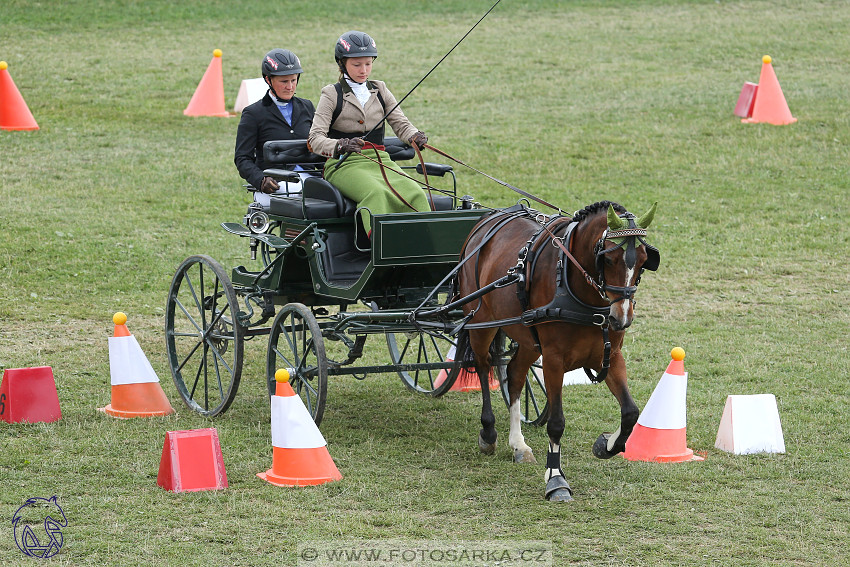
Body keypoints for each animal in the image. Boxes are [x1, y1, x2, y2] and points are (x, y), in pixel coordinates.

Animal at [454, 200, 660, 502]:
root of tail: (488, 218)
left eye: (645, 260)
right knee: (483, 366)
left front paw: (606, 445)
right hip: (480, 322)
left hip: (527, 339)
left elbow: (630, 412)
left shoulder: (610, 356)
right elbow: (556, 423)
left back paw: (518, 445)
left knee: (515, 375)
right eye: (609, 259)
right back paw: (488, 432)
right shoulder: (552, 360)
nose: (621, 318)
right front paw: (556, 479)